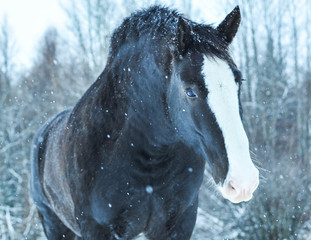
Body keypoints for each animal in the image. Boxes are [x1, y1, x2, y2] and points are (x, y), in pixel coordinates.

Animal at [31, 5, 260, 240]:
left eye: (238, 81)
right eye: (190, 91)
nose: (243, 182)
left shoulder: (180, 223)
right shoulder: (95, 228)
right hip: (54, 224)